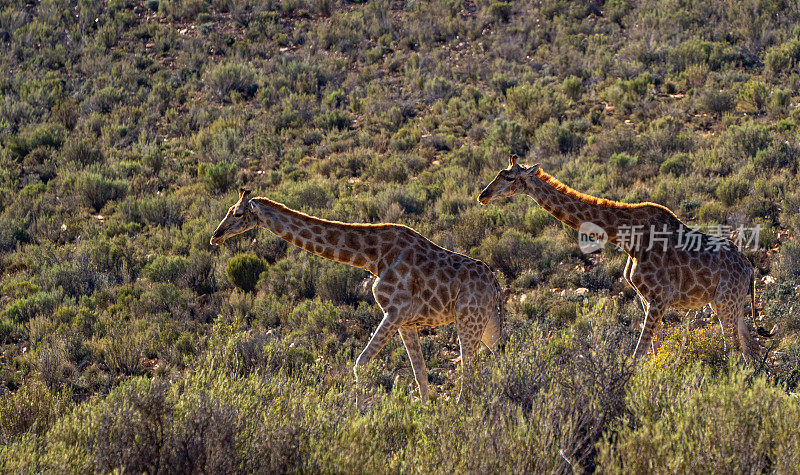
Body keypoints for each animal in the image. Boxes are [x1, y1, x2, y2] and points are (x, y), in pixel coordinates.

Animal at [209, 188, 504, 404]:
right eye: (228, 211)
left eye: (237, 213)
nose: (216, 235)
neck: (373, 257)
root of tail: (495, 283)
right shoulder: (406, 321)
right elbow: (419, 373)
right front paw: (424, 410)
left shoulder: (395, 312)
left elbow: (360, 364)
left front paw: (359, 412)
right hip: (487, 323)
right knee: (500, 358)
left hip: (468, 320)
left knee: (469, 368)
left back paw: (463, 408)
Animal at [478, 156, 772, 360]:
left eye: (509, 178)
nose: (483, 196)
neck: (626, 239)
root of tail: (749, 268)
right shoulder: (646, 299)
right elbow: (653, 351)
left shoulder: (659, 298)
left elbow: (639, 354)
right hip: (729, 303)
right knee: (750, 348)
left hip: (725, 301)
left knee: (734, 348)